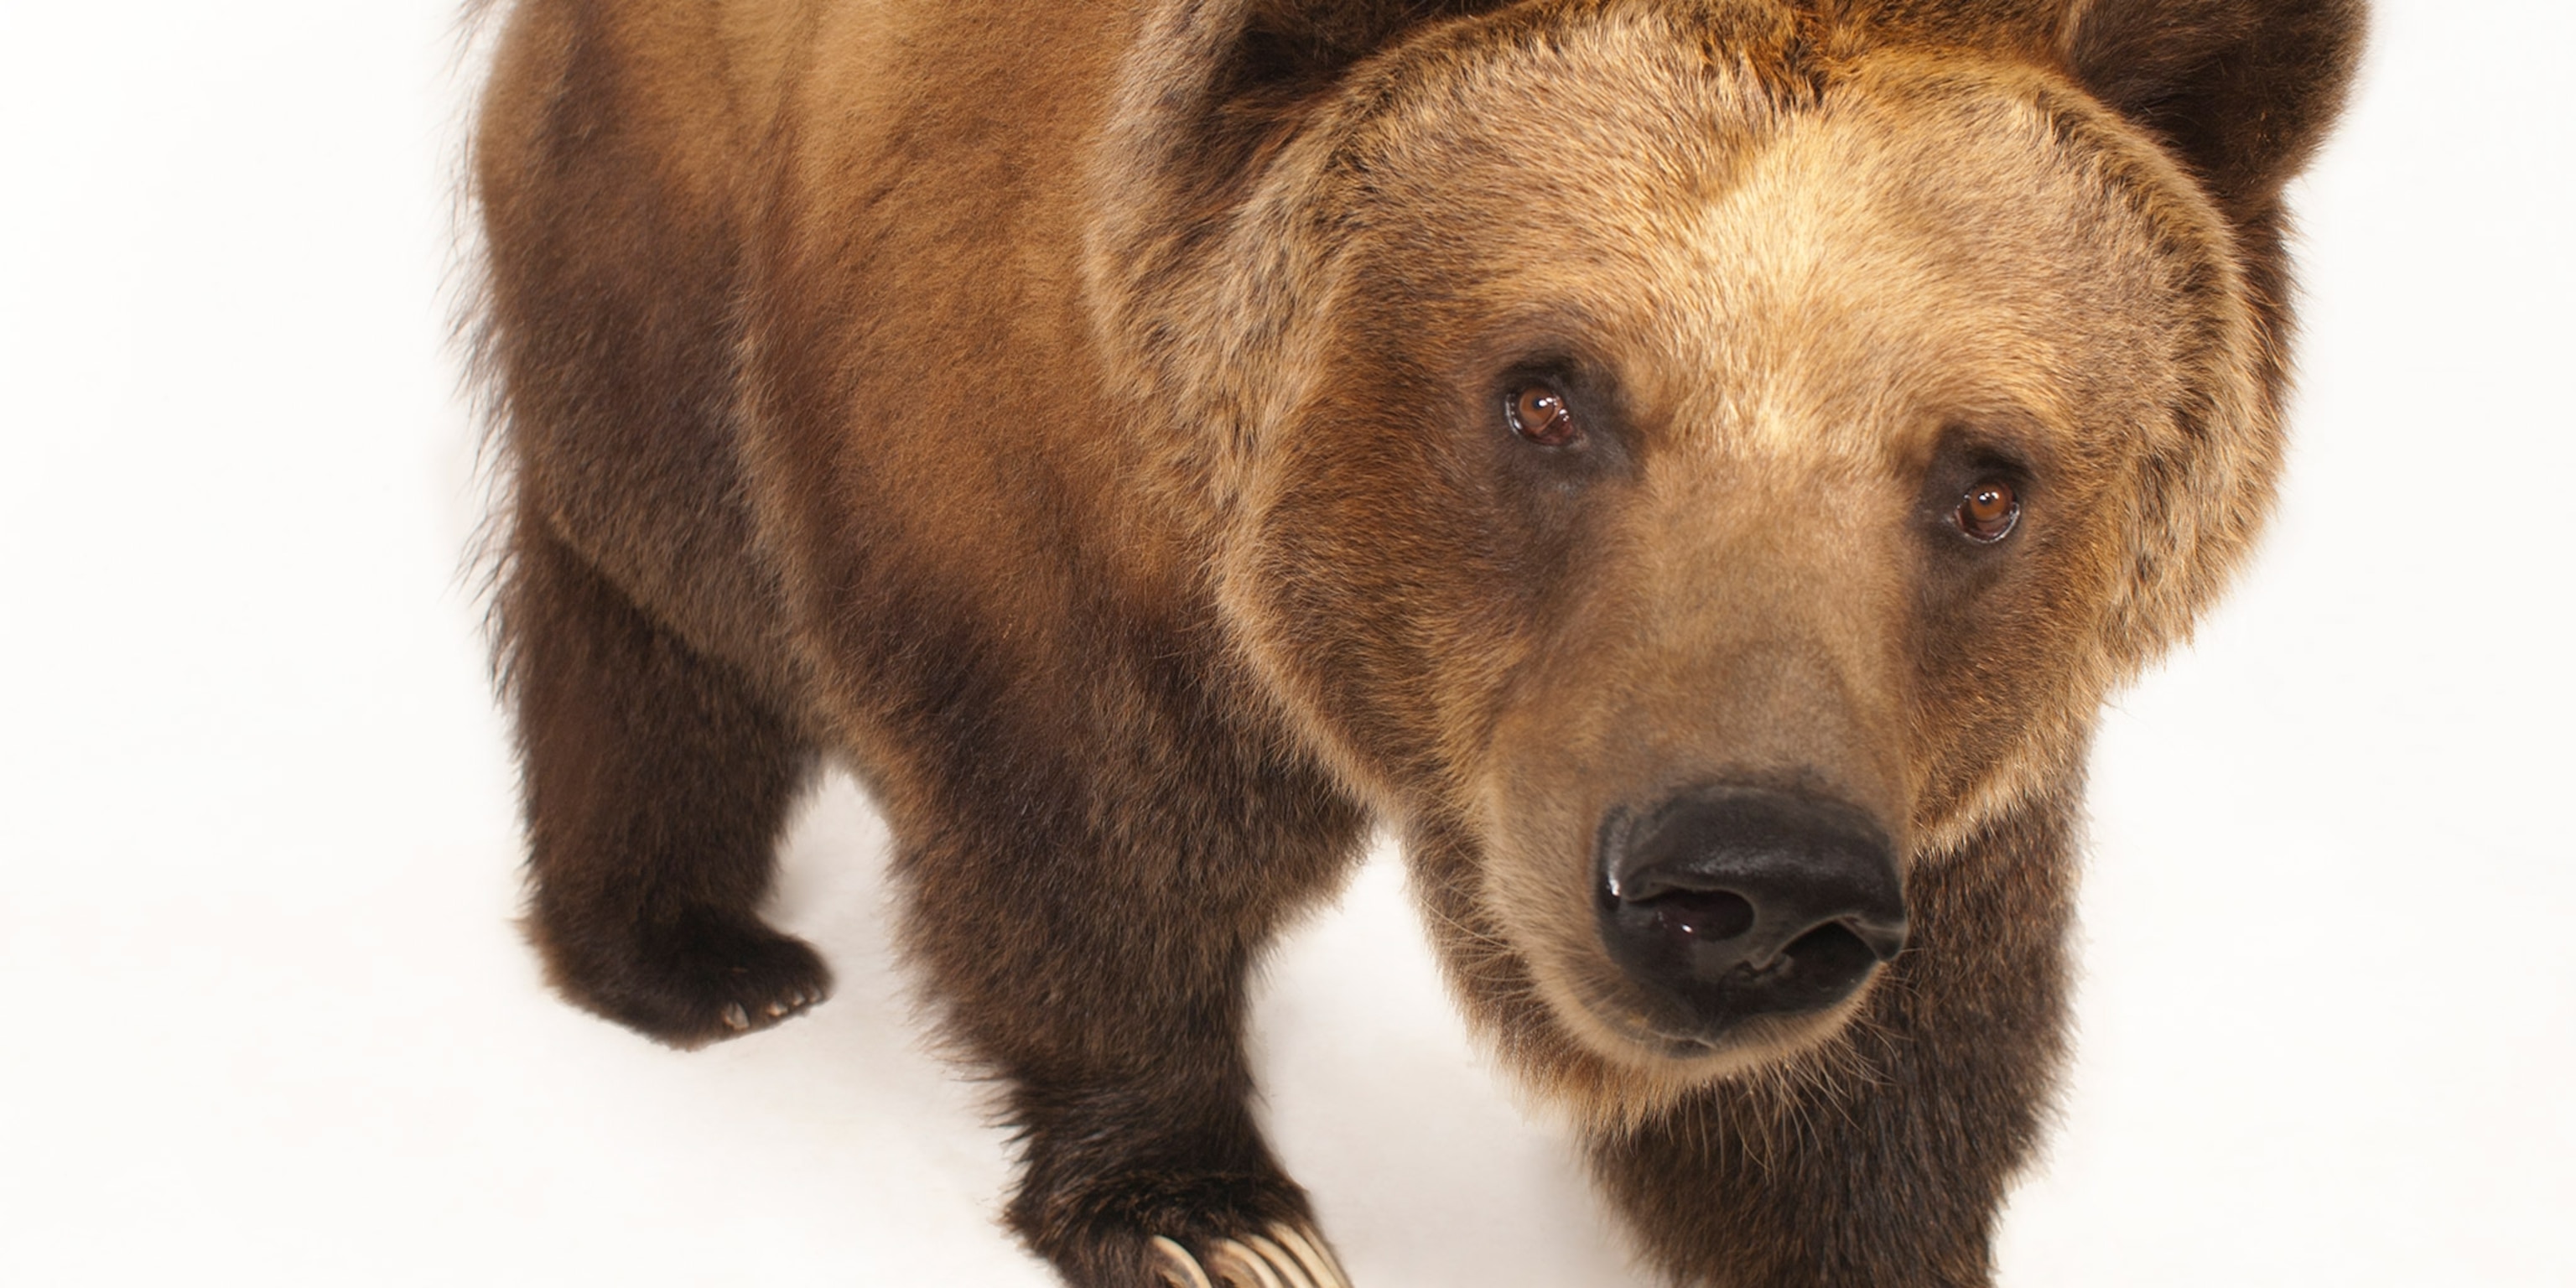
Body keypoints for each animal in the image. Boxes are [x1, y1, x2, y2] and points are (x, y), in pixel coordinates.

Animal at [466, 0, 2363, 1283]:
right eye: (1547, 394)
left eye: (1983, 482)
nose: (1745, 882)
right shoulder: (1038, 495)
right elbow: (1085, 846)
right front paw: (1209, 1215)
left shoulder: (1934, 770)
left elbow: (1892, 1058)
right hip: (651, 248)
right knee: (654, 615)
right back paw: (697, 956)